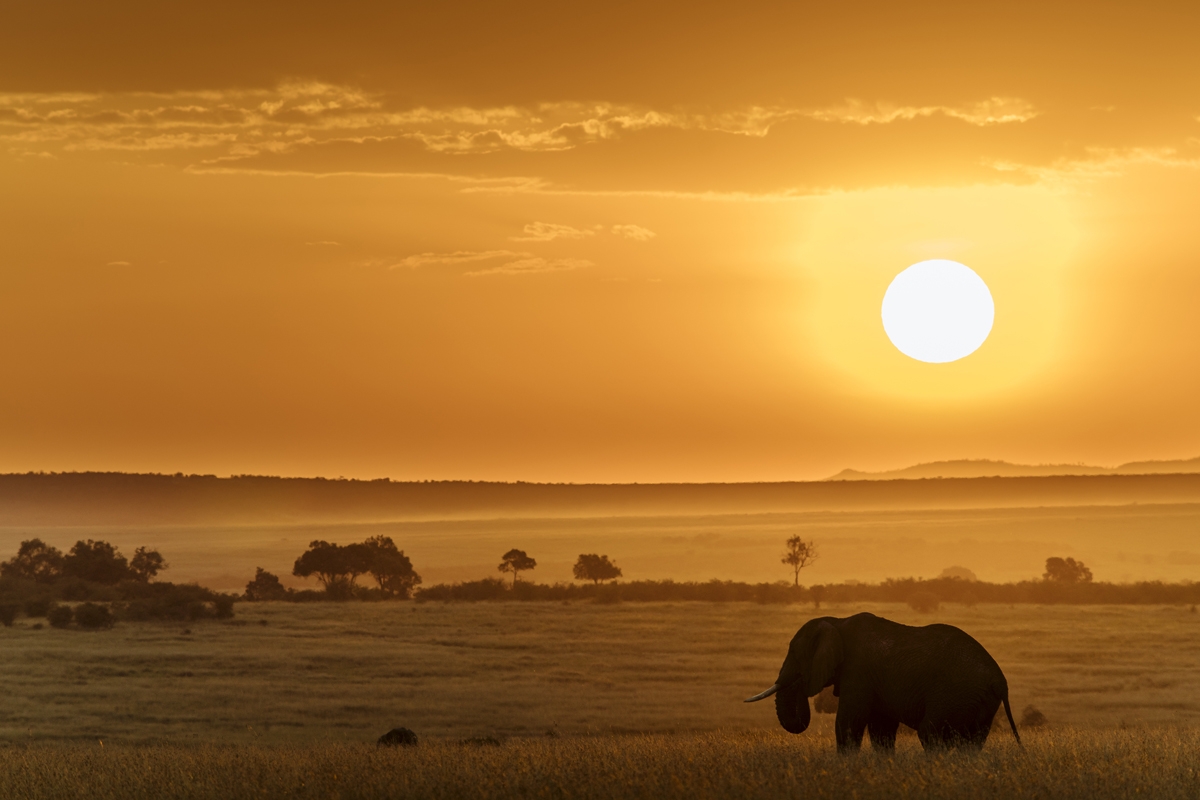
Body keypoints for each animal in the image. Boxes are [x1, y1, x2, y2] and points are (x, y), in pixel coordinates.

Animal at [744, 614, 1017, 753]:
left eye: (795, 653)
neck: (837, 621)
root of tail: (1001, 681)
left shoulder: (858, 671)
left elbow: (849, 723)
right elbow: (881, 731)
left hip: (955, 694)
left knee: (930, 734)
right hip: (979, 702)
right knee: (971, 742)